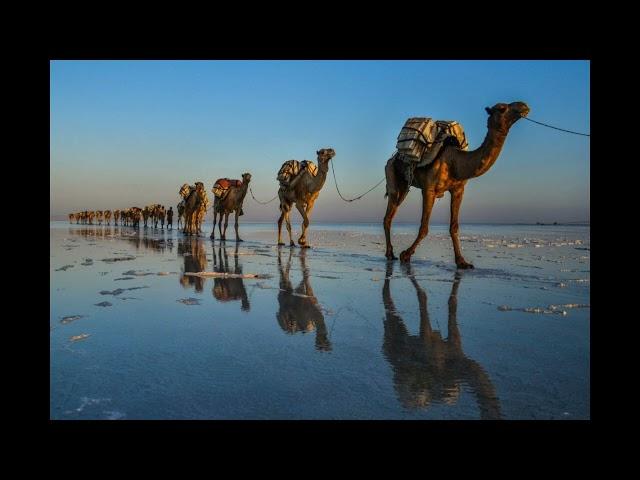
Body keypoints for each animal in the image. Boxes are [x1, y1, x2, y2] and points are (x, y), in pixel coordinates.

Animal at [384, 101, 528, 266]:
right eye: (502, 108)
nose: (524, 106)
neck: (455, 162)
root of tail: (393, 158)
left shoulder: (458, 190)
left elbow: (454, 227)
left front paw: (462, 261)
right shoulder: (428, 189)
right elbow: (424, 227)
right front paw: (406, 254)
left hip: (403, 187)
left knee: (392, 212)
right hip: (392, 176)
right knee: (388, 216)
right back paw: (390, 254)